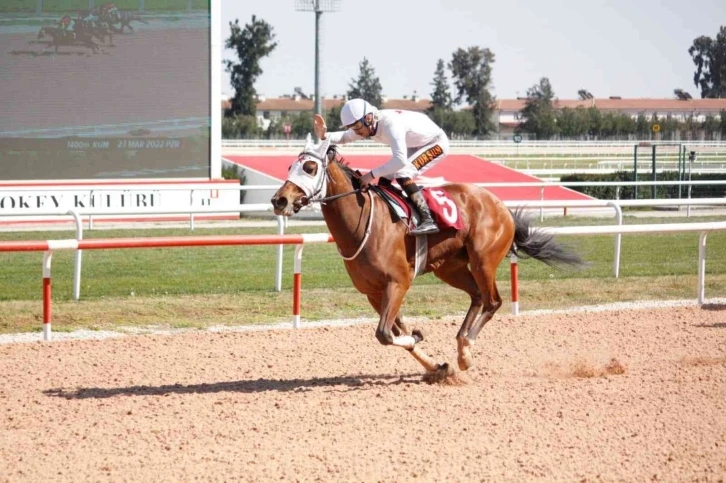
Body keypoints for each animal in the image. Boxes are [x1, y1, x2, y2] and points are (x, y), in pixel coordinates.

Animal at [270, 136, 584, 382]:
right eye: (289, 167)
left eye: (310, 168)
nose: (279, 200)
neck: (364, 221)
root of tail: (500, 205)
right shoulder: (373, 292)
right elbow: (396, 332)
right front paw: (437, 366)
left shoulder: (398, 282)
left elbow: (385, 334)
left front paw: (423, 341)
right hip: (451, 268)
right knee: (477, 297)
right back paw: (460, 346)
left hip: (483, 260)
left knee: (492, 301)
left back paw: (466, 352)